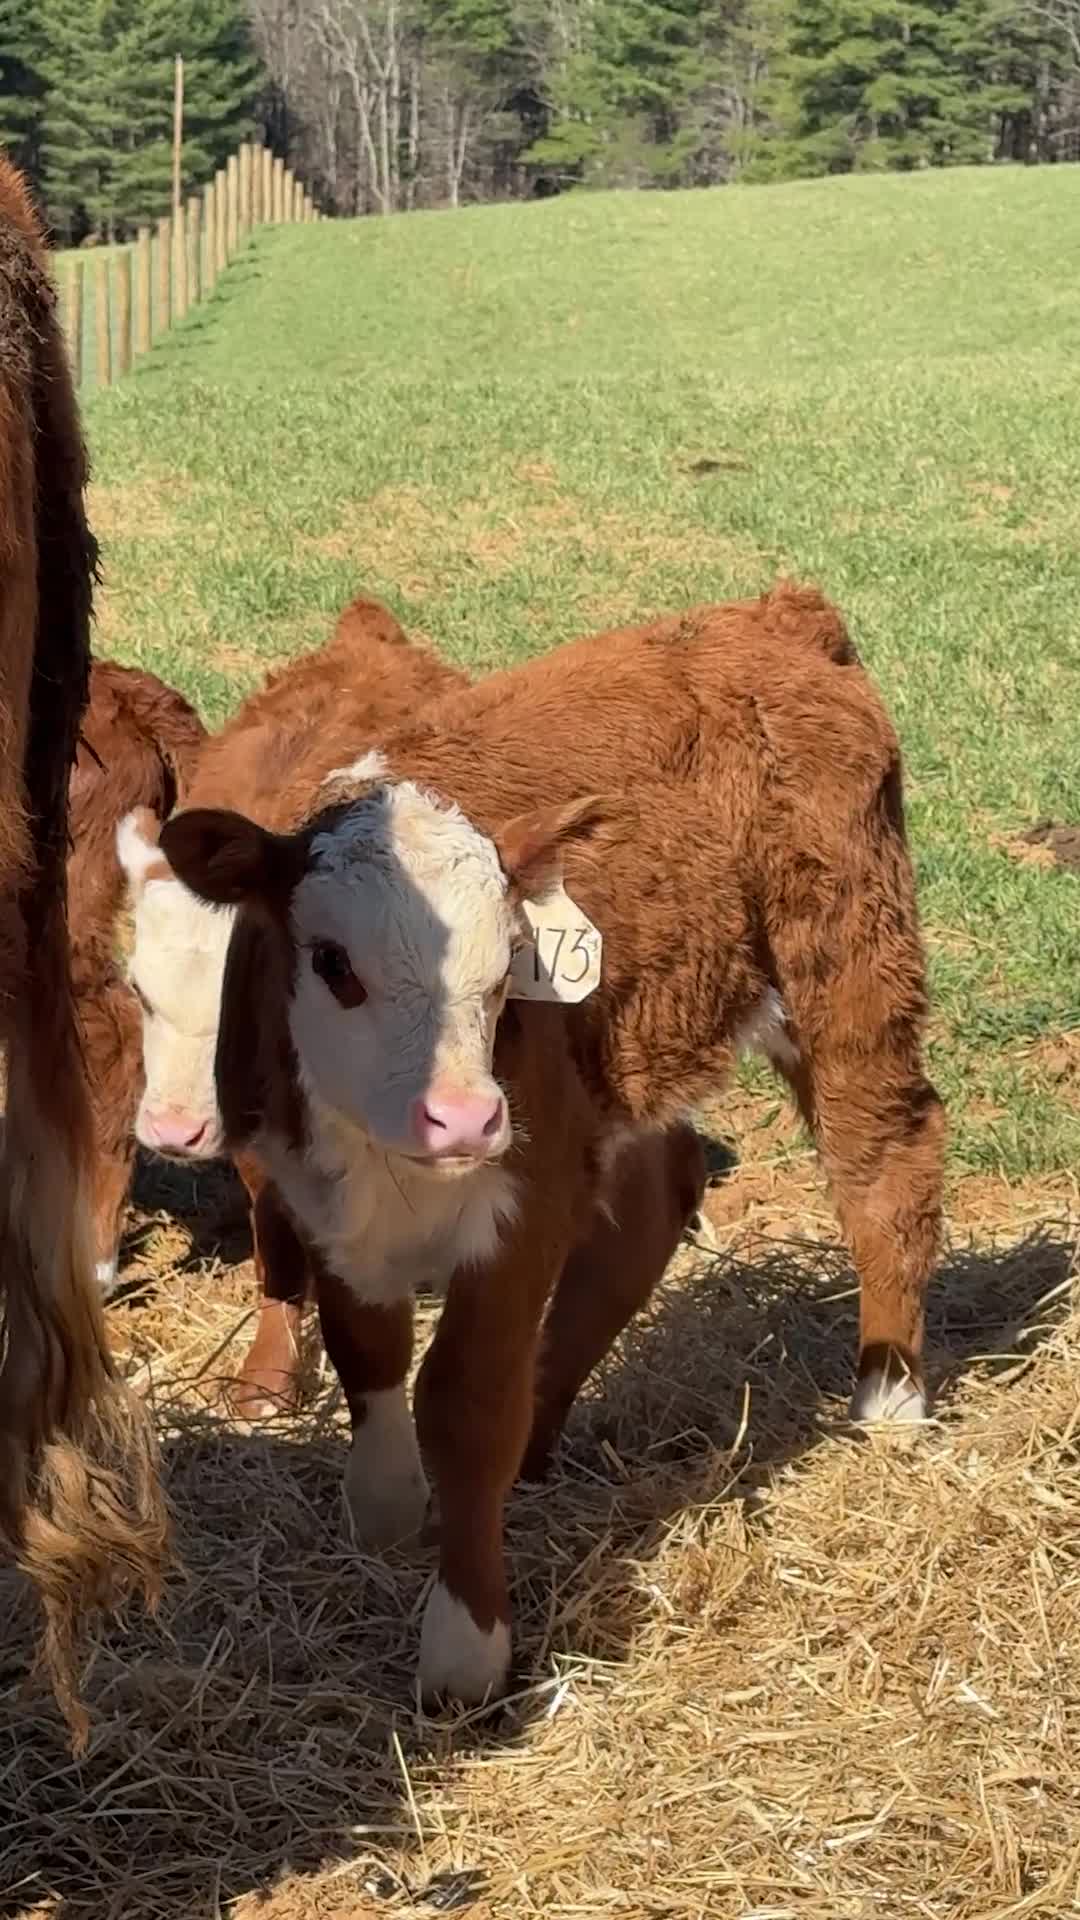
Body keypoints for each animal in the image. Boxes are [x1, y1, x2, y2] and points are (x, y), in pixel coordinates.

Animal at [160, 581, 945, 1710]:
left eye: (506, 969)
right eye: (333, 962)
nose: (465, 1118)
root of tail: (773, 614)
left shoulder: (522, 1202)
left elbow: (464, 1402)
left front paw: (466, 1645)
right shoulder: (321, 1202)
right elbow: (370, 1360)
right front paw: (387, 1502)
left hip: (843, 960)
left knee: (885, 1162)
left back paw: (889, 1398)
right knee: (656, 1201)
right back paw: (545, 1435)